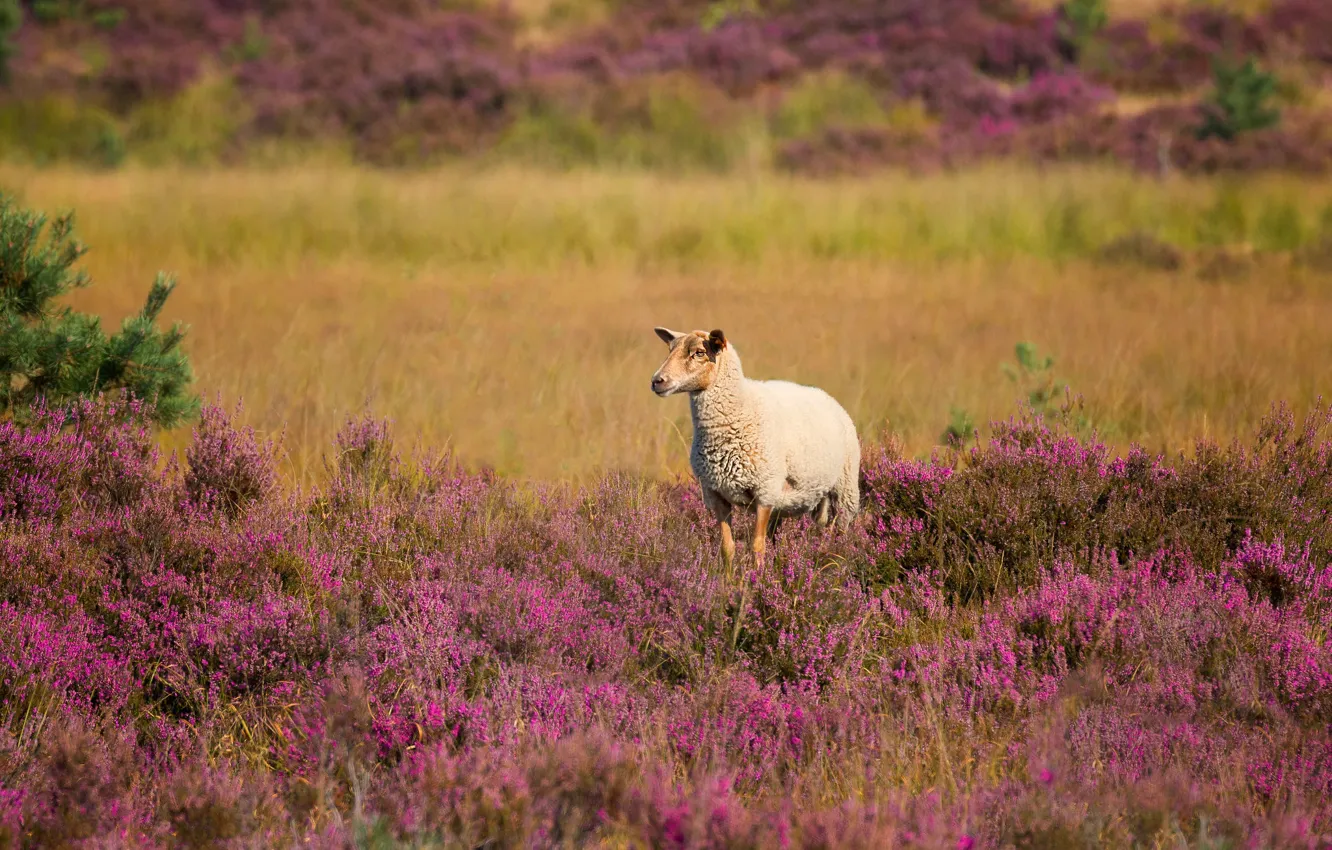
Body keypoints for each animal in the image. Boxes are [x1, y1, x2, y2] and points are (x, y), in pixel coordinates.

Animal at [650, 326, 860, 573]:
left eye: (699, 353)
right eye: (670, 350)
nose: (657, 381)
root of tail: (824, 395)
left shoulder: (764, 492)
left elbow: (756, 547)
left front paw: (756, 579)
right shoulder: (716, 494)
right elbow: (727, 548)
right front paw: (729, 580)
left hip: (845, 489)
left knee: (840, 537)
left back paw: (836, 568)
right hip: (786, 501)